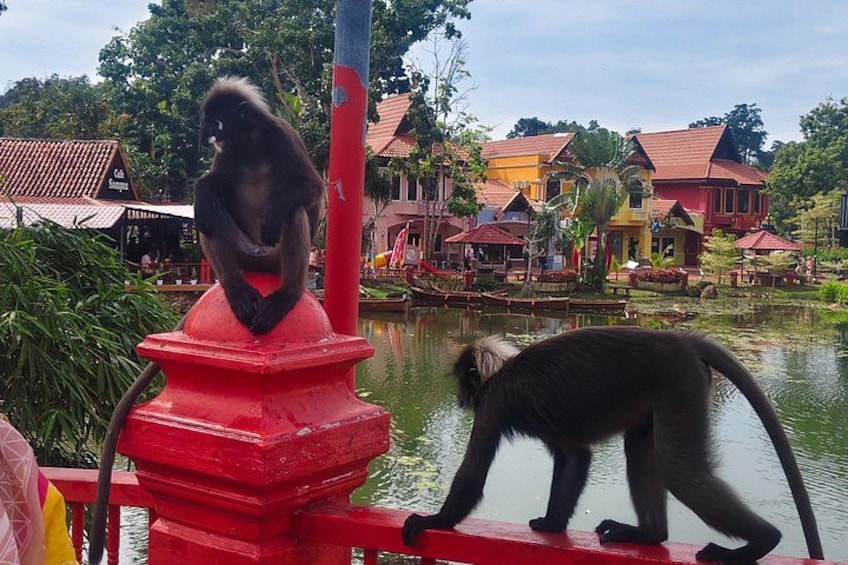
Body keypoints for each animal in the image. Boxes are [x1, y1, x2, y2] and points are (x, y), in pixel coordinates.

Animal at [194, 76, 326, 334]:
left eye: (217, 123)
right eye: (210, 124)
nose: (211, 136)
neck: (250, 141)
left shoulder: (281, 134)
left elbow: (313, 186)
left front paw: (273, 212)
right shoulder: (227, 151)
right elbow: (213, 185)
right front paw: (202, 191)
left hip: (274, 260)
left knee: (293, 212)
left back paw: (286, 296)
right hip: (245, 255)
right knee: (206, 214)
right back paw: (235, 288)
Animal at [401, 327, 825, 564]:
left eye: (464, 382)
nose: (460, 397)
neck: (503, 369)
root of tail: (681, 340)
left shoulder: (493, 403)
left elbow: (474, 473)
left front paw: (433, 521)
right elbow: (575, 456)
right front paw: (553, 524)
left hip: (681, 383)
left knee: (678, 469)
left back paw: (762, 542)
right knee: (640, 452)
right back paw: (649, 535)